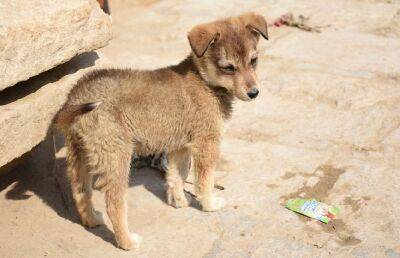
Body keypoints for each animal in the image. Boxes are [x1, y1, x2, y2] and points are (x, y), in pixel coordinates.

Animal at [54, 12, 268, 250]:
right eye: (228, 67)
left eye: (253, 61)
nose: (254, 93)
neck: (205, 81)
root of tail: (75, 98)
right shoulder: (206, 143)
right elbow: (205, 180)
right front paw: (209, 203)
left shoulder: (180, 146)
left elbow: (176, 175)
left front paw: (178, 201)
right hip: (116, 158)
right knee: (114, 205)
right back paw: (127, 241)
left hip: (79, 155)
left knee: (81, 193)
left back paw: (92, 220)